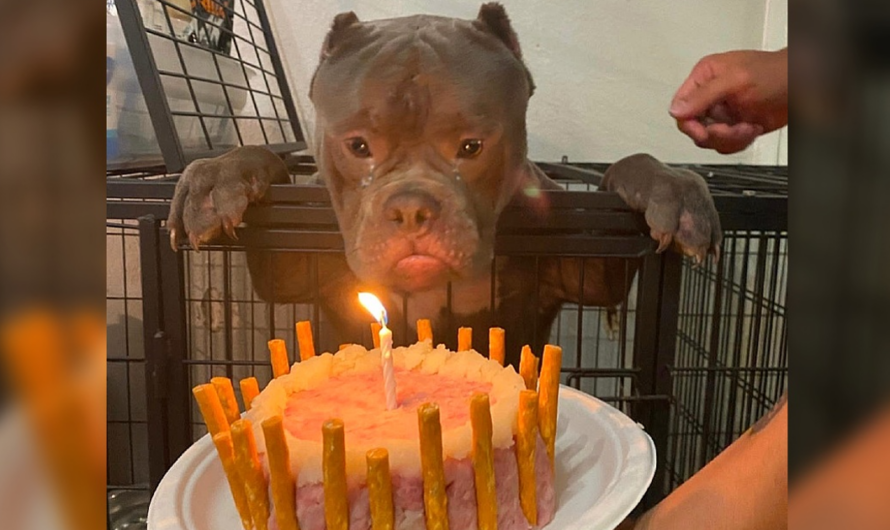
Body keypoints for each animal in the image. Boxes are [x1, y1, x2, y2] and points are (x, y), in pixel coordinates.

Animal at [168, 3, 720, 368]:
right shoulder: (290, 266)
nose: (411, 208)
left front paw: (670, 186)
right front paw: (219, 176)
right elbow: (272, 164)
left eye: (472, 146)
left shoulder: (586, 268)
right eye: (358, 145)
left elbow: (624, 171)